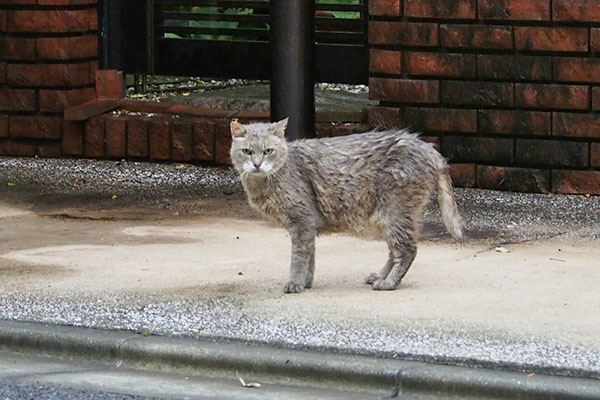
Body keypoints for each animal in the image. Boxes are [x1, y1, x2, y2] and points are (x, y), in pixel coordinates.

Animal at [230, 117, 464, 292]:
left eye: (268, 151)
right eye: (247, 152)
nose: (257, 164)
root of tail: (428, 147)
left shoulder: (302, 222)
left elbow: (298, 257)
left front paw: (295, 283)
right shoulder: (307, 225)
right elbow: (310, 256)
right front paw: (306, 282)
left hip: (394, 213)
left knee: (407, 250)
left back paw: (388, 282)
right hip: (387, 217)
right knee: (394, 251)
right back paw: (380, 276)